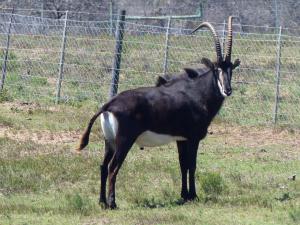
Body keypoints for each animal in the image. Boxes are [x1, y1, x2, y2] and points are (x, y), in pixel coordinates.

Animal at [77, 16, 239, 209]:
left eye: (231, 69)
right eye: (217, 69)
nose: (227, 90)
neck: (197, 93)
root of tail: (109, 105)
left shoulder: (181, 139)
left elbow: (182, 165)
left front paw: (184, 195)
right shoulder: (193, 138)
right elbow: (192, 165)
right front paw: (193, 195)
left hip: (109, 142)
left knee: (102, 166)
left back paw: (102, 201)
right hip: (124, 142)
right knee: (112, 168)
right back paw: (112, 203)